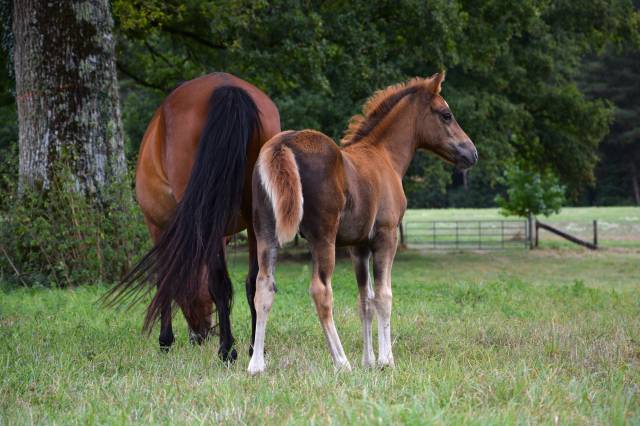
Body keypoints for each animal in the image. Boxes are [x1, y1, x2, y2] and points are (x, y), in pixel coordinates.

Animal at [103, 73, 281, 361]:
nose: (201, 334)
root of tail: (227, 88)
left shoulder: (158, 228)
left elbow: (166, 280)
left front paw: (165, 340)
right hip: (256, 219)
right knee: (255, 281)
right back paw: (255, 349)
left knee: (220, 282)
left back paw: (226, 350)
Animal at [248, 72, 477, 374]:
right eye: (446, 114)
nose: (471, 153)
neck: (385, 156)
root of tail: (282, 144)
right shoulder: (386, 236)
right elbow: (383, 296)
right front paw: (386, 360)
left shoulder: (358, 247)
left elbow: (364, 300)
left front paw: (369, 359)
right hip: (323, 237)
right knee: (321, 291)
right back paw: (341, 361)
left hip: (265, 233)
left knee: (263, 287)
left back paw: (256, 364)